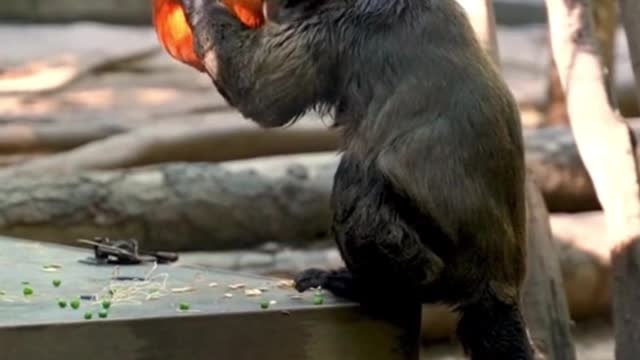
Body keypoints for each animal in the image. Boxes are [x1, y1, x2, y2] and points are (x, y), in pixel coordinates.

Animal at [178, 0, 532, 358]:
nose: (272, 8)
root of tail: (496, 282)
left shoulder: (337, 26)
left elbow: (261, 92)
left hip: (449, 265)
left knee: (358, 176)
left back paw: (373, 288)